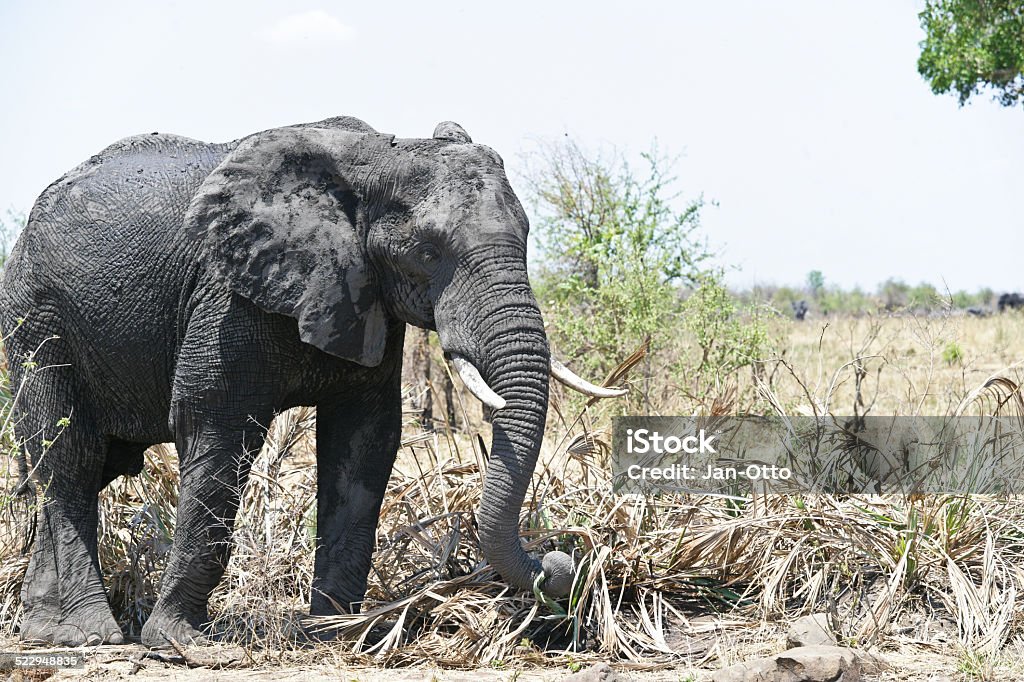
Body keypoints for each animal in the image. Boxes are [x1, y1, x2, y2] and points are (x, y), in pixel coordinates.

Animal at [0, 114, 626, 647]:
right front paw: (179, 643)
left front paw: (338, 633)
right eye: (428, 251)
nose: (562, 560)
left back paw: (46, 631)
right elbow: (216, 426)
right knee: (70, 456)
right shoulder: (225, 295)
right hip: (37, 319)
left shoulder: (368, 296)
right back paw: (87, 634)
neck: (378, 158)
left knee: (92, 464)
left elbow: (364, 439)